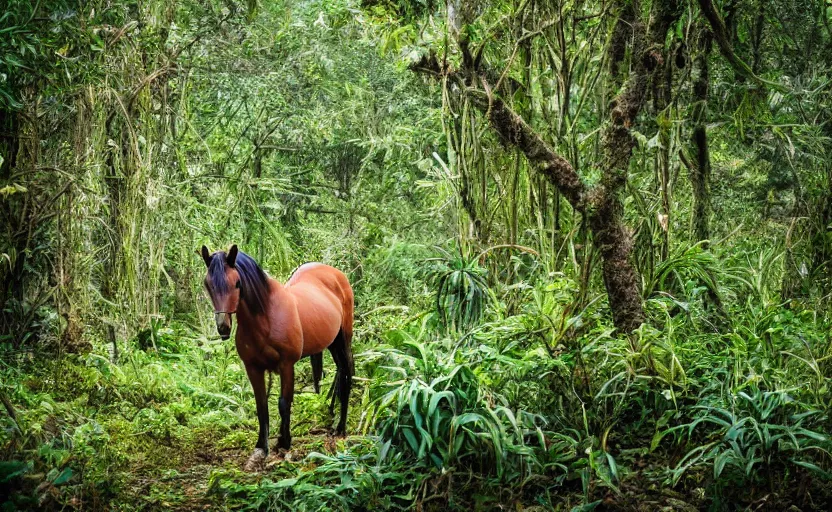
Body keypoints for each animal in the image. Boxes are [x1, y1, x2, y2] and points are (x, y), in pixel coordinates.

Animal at [203, 245, 356, 456]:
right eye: (207, 285)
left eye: (237, 283)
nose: (223, 327)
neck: (266, 318)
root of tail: (336, 274)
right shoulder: (253, 368)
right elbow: (261, 406)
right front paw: (262, 445)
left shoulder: (286, 365)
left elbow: (284, 403)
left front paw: (284, 442)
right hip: (332, 343)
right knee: (341, 373)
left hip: (343, 338)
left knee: (347, 373)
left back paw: (341, 428)